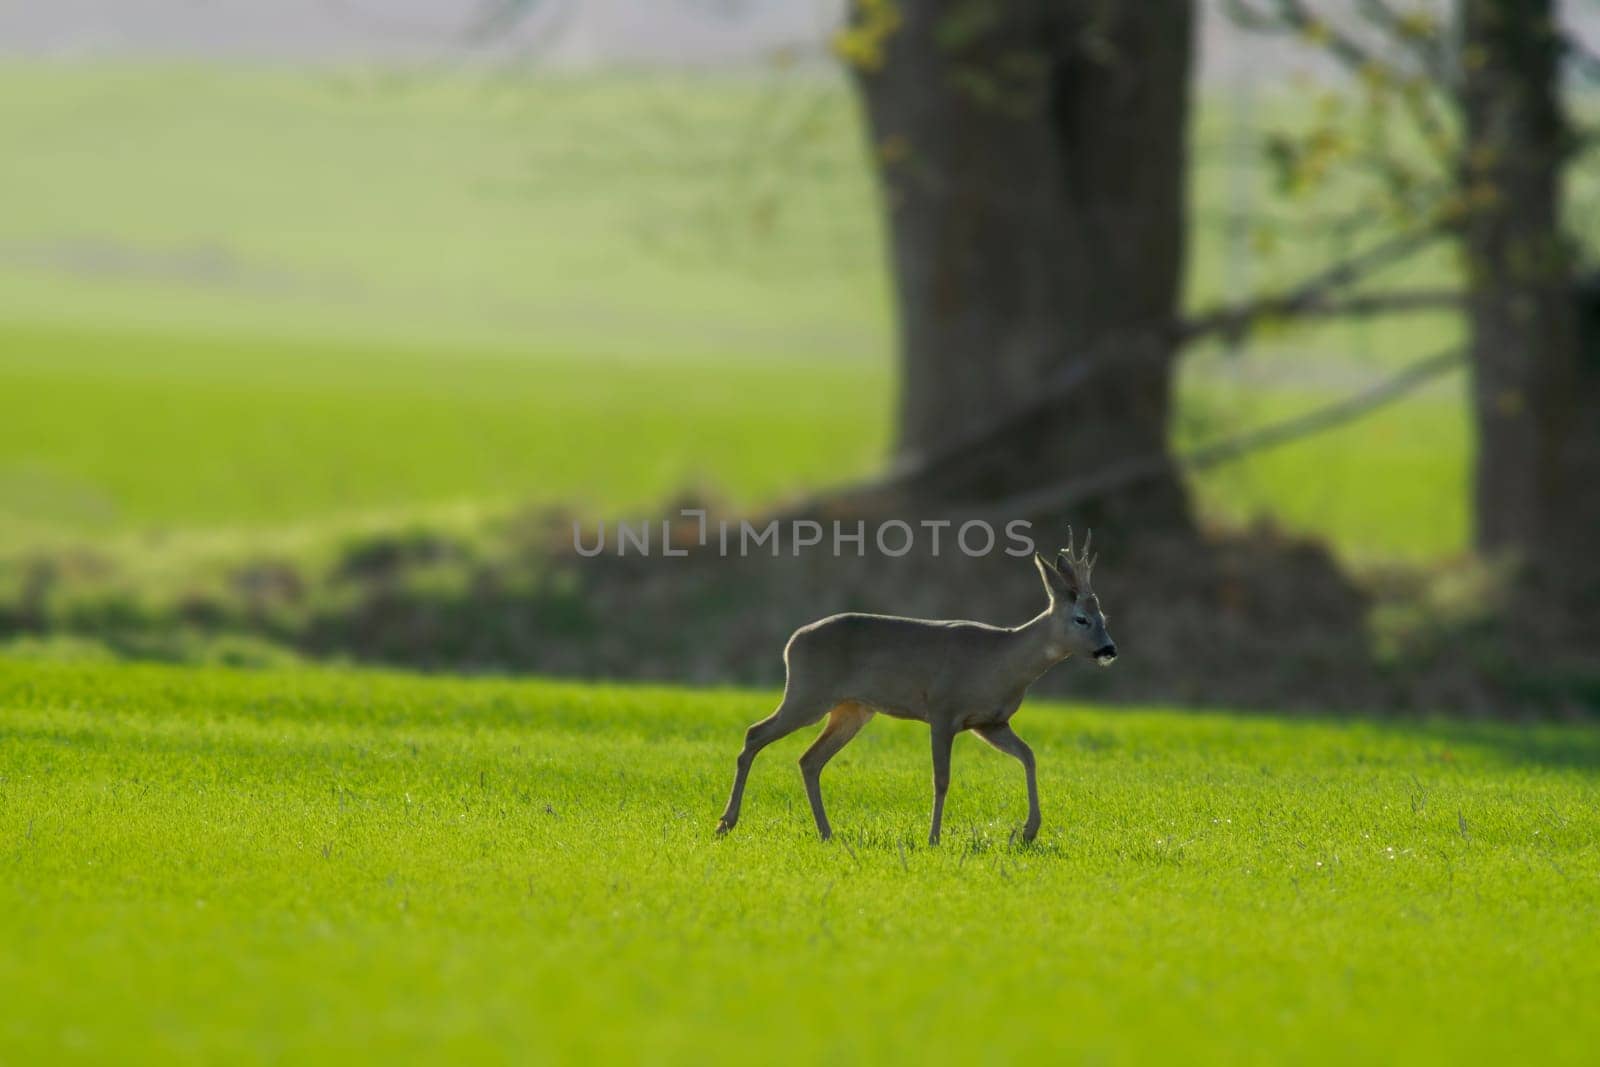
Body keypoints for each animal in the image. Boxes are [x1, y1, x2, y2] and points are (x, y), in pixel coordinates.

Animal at [720, 531, 1120, 844]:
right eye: (1081, 619)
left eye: (1104, 617)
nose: (1109, 649)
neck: (1001, 661)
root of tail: (791, 643)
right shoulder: (943, 709)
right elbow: (941, 778)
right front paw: (934, 838)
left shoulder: (990, 722)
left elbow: (1029, 756)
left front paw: (1028, 831)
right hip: (807, 694)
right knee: (755, 733)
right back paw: (726, 823)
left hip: (852, 709)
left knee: (809, 759)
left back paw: (826, 833)